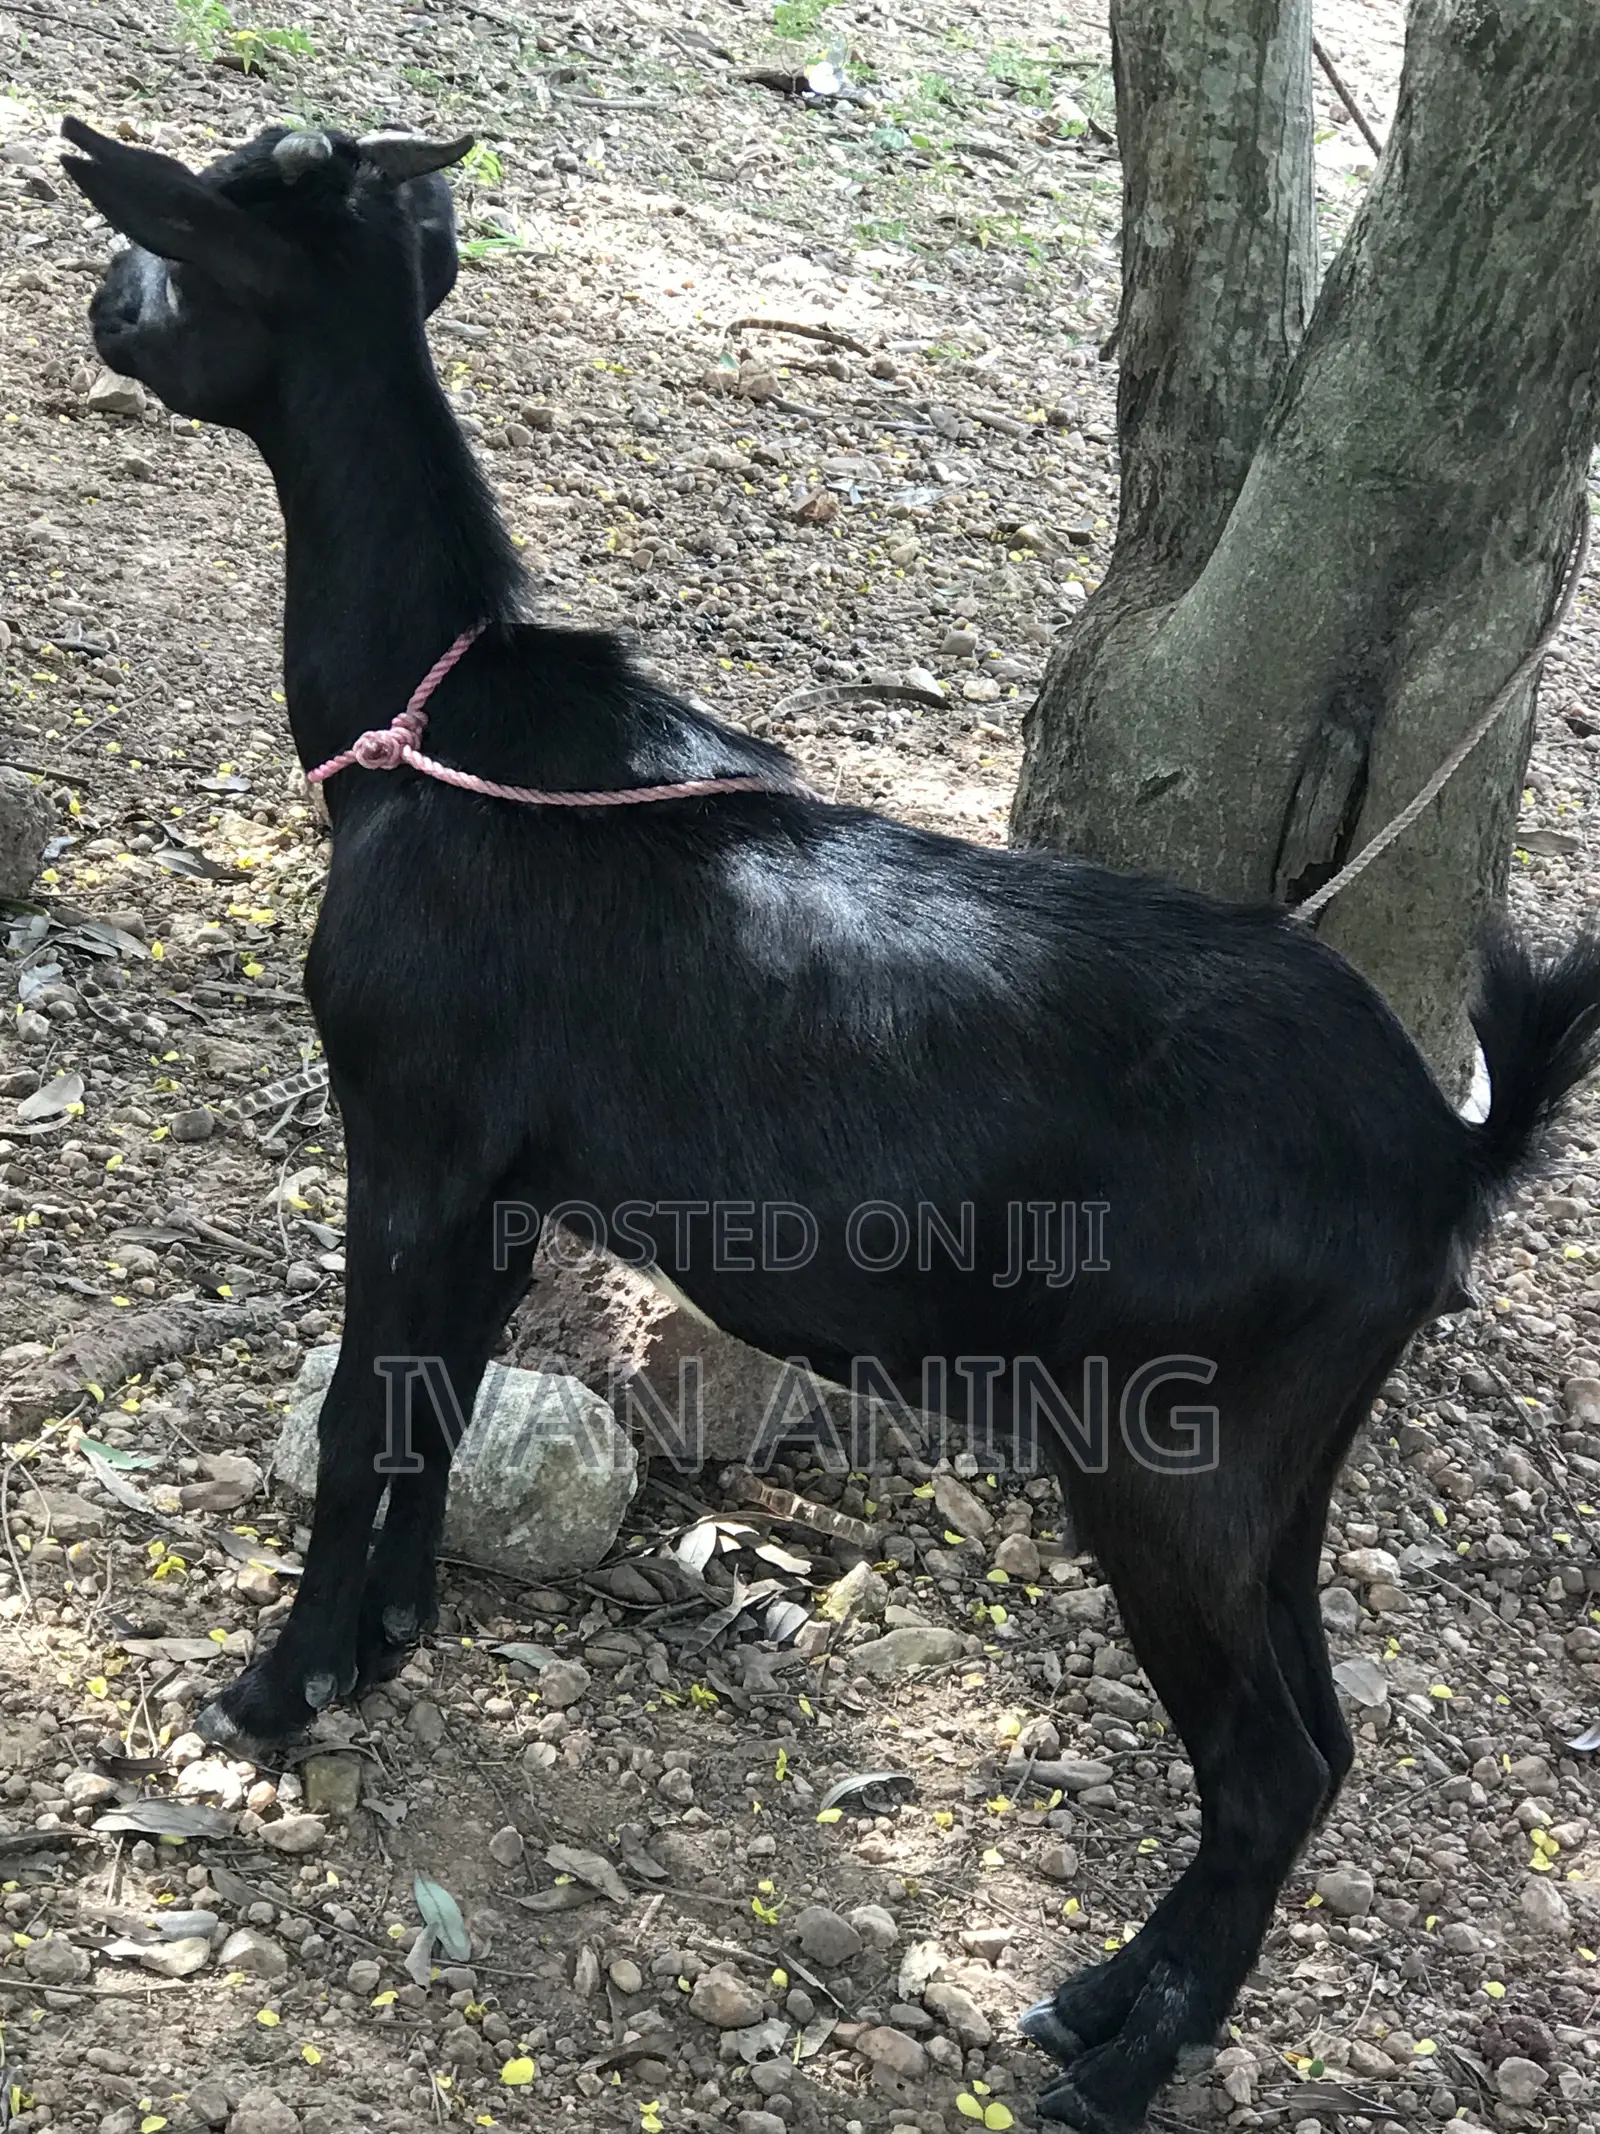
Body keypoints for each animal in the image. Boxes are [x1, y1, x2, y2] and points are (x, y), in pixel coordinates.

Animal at [62, 117, 1600, 2134]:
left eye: (185, 245)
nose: (97, 305)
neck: (440, 732)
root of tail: (1447, 1153)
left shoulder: (409, 1133)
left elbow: (354, 1414)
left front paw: (276, 1685)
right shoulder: (507, 1188)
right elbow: (440, 1404)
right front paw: (384, 1642)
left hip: (1172, 1438)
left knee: (1268, 1758)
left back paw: (1117, 2063)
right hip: (1285, 1447)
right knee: (1324, 1741)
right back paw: (1106, 1997)